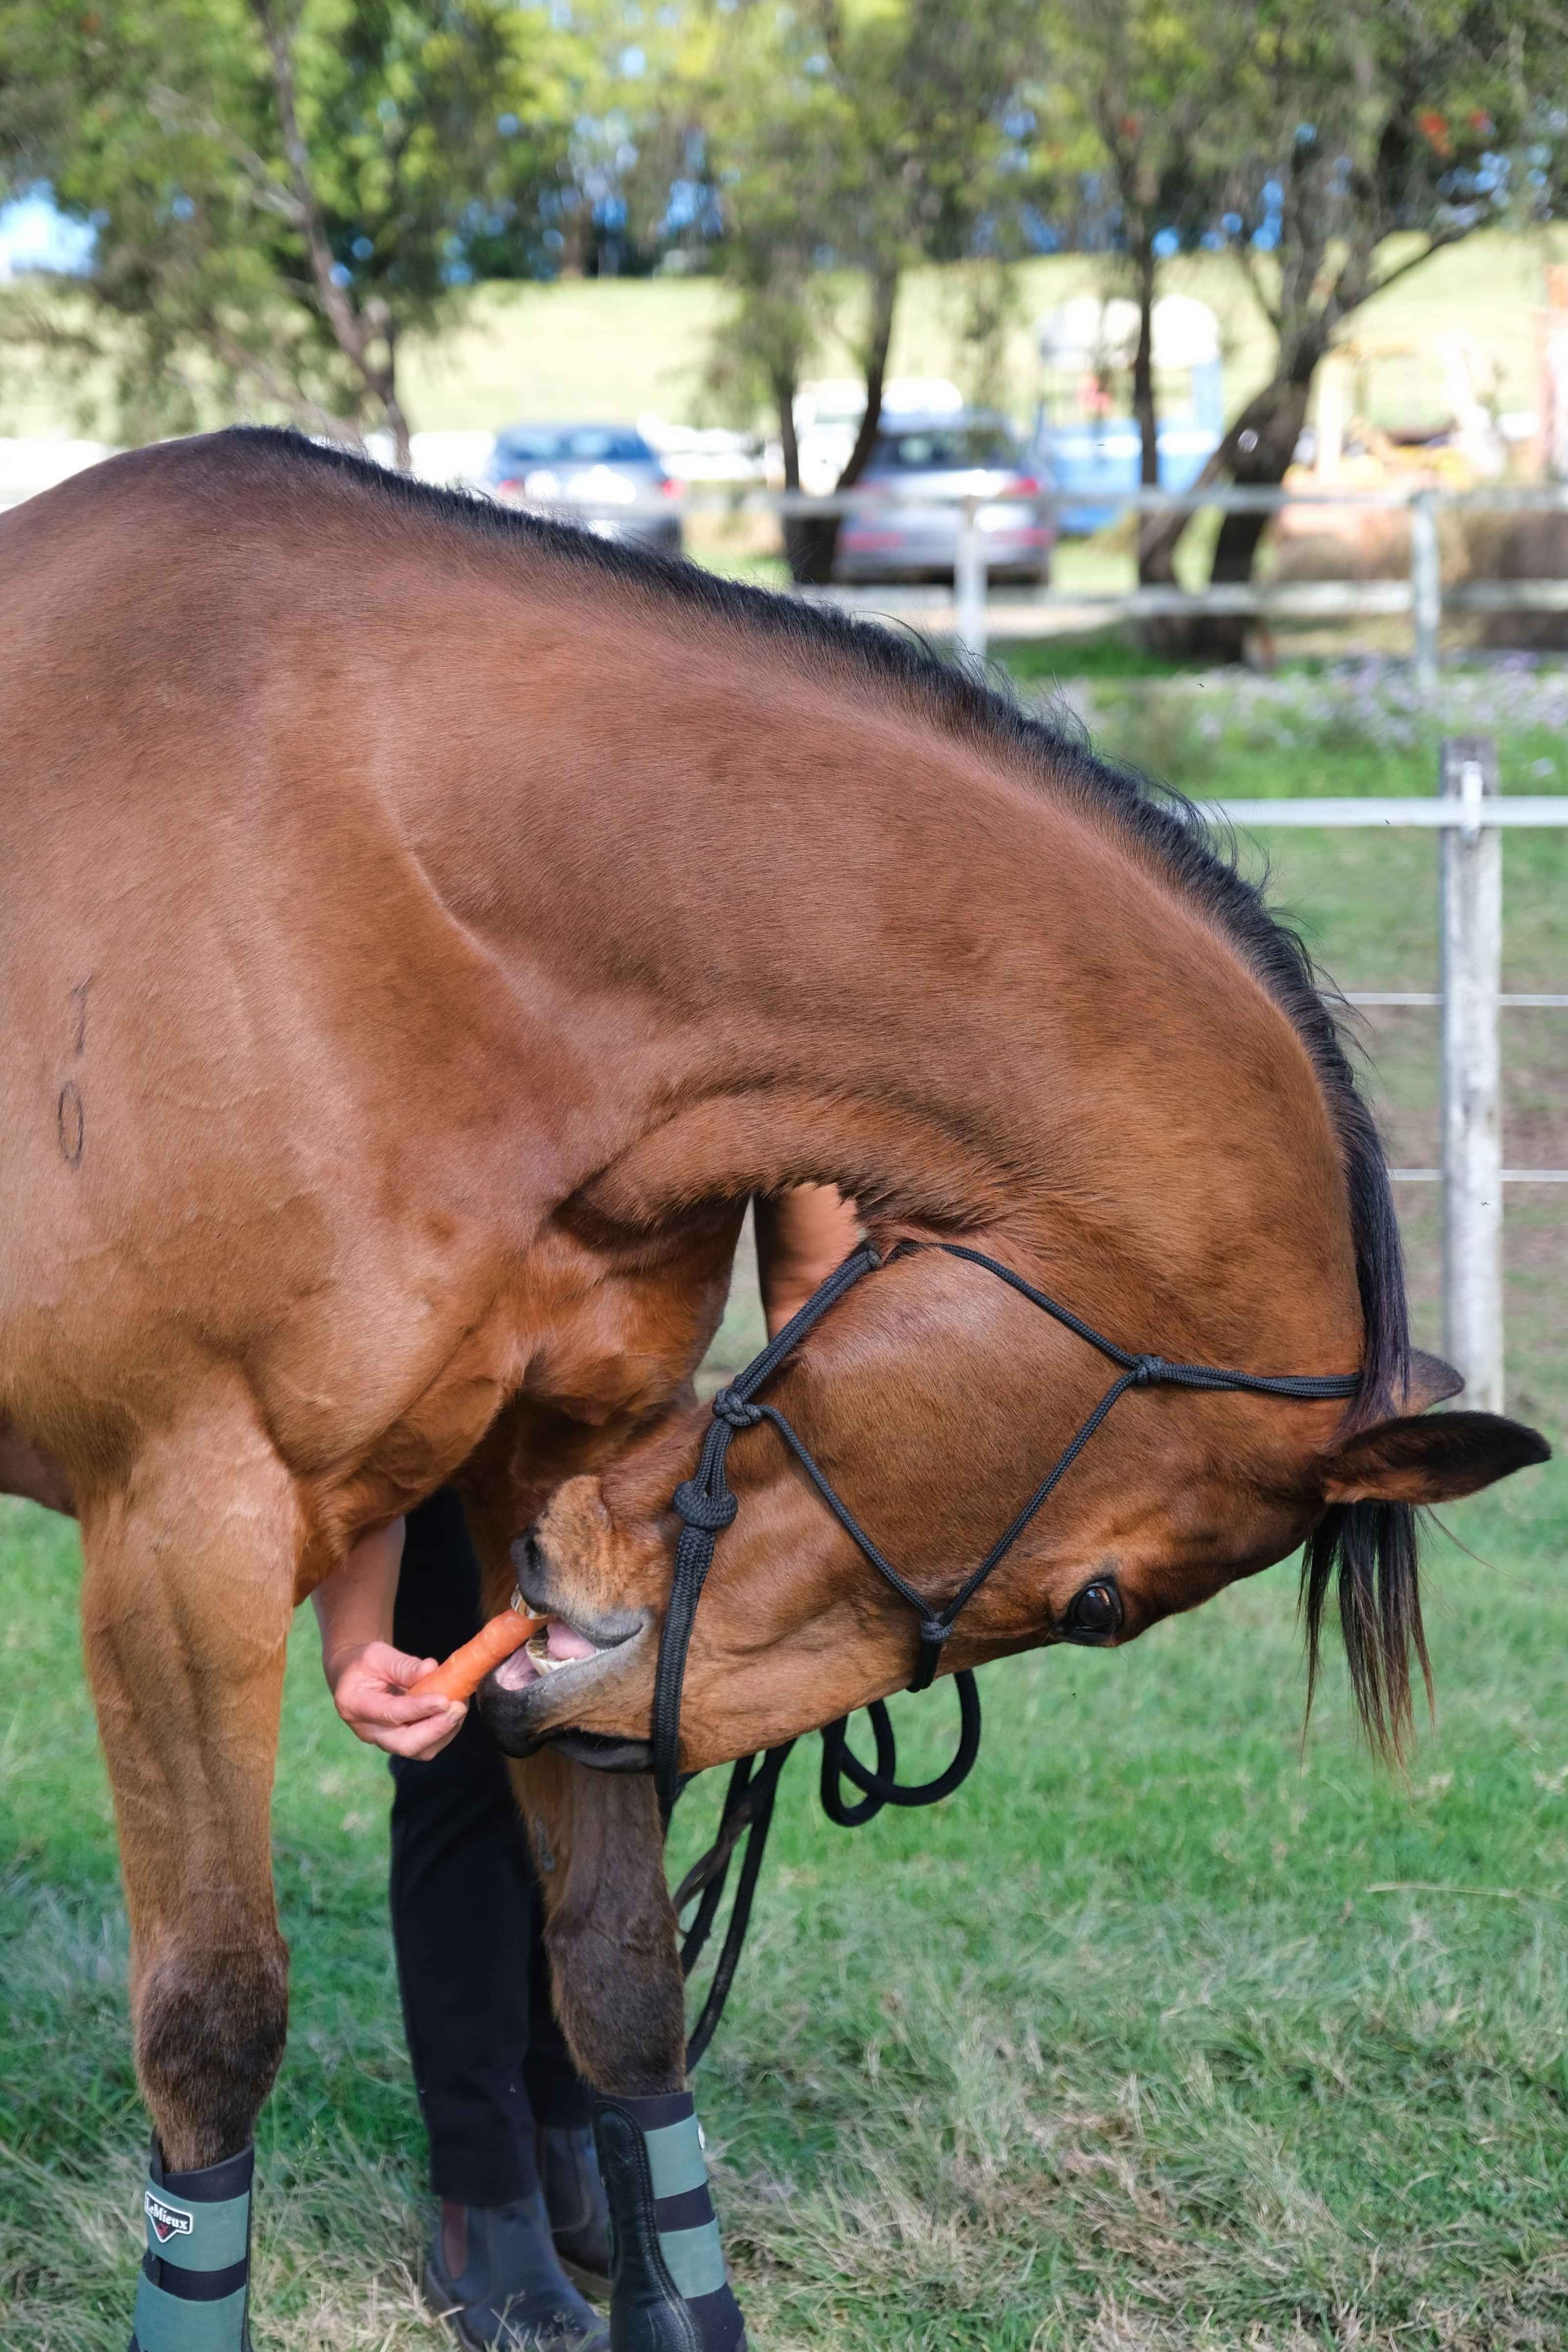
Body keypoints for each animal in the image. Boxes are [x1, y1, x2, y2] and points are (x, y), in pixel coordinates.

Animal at [0, 427, 1547, 2352]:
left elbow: (617, 1983)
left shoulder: (542, 1469)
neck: (382, 882)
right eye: (1102, 1603)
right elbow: (215, 2030)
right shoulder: (182, 1529)